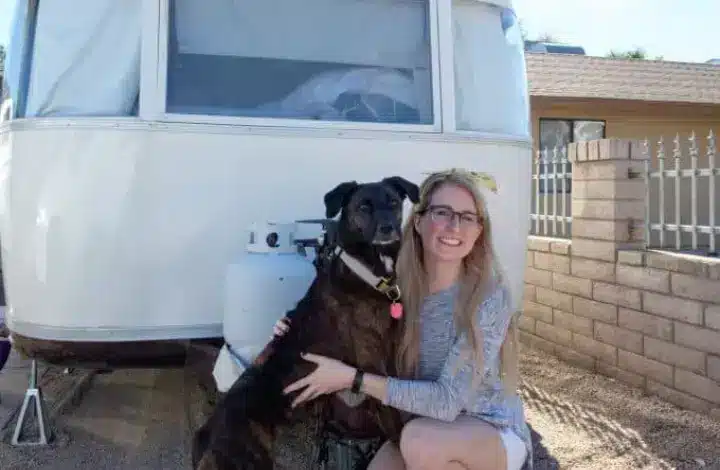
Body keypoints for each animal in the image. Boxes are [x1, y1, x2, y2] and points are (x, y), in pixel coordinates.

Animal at [191, 177, 422, 470]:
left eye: (393, 202)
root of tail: (207, 434)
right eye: (364, 207)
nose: (388, 228)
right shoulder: (374, 364)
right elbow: (397, 422)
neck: (367, 273)